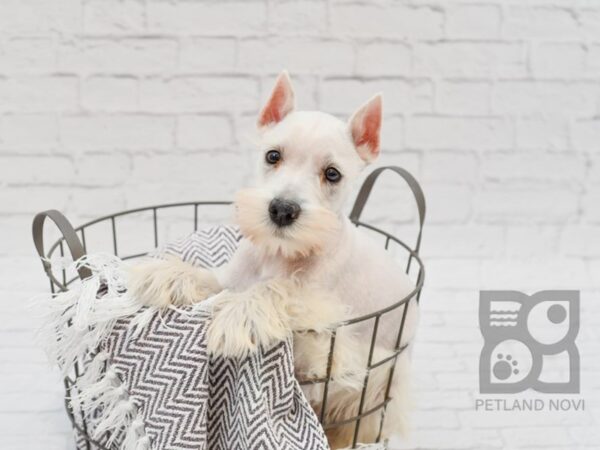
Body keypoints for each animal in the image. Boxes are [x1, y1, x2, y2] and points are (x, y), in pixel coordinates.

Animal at [127, 71, 418, 450]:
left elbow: (278, 290)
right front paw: (165, 274)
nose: (282, 209)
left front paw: (239, 313)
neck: (280, 254)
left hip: (377, 380)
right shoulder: (232, 278)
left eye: (333, 173)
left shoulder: (318, 303)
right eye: (273, 155)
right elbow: (210, 279)